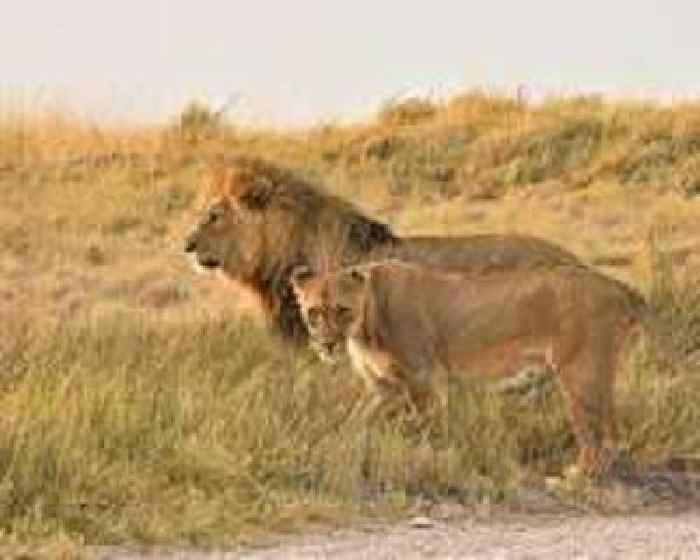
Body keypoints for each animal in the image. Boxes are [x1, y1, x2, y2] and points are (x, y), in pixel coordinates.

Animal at [290, 260, 652, 476]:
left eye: (342, 310)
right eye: (314, 312)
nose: (327, 345)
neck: (365, 327)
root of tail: (618, 286)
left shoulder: (423, 381)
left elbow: (420, 429)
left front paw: (423, 463)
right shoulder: (383, 387)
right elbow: (354, 422)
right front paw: (335, 450)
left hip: (579, 375)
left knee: (597, 438)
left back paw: (574, 479)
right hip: (594, 376)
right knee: (611, 434)